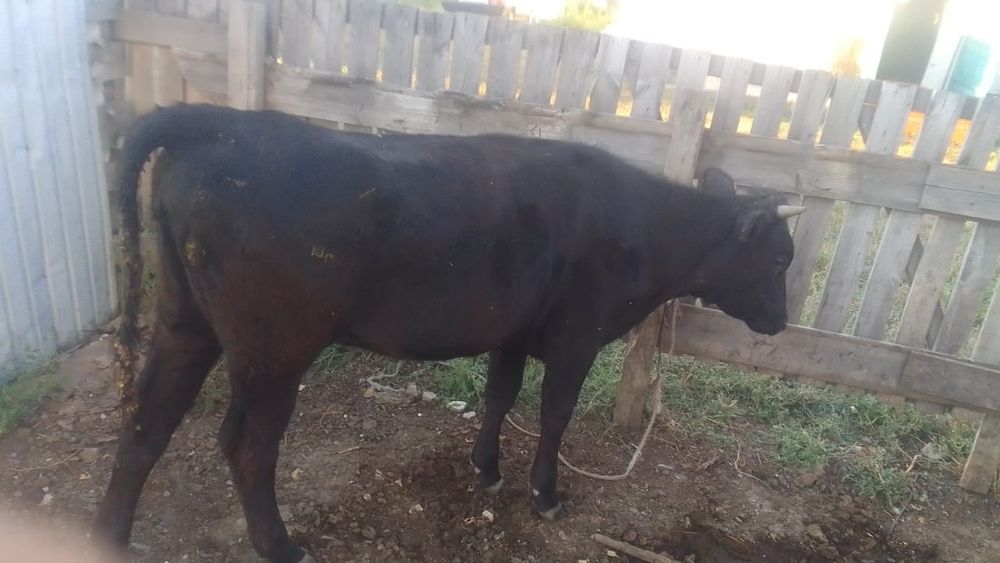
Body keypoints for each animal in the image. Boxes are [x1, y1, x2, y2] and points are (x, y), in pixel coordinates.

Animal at [94, 104, 803, 563]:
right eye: (778, 259)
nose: (780, 321)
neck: (643, 227)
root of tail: (220, 121)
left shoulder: (513, 331)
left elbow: (500, 396)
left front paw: (486, 471)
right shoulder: (577, 337)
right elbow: (554, 414)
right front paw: (544, 494)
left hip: (185, 319)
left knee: (147, 420)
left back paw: (109, 536)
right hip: (275, 347)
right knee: (244, 444)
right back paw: (280, 546)